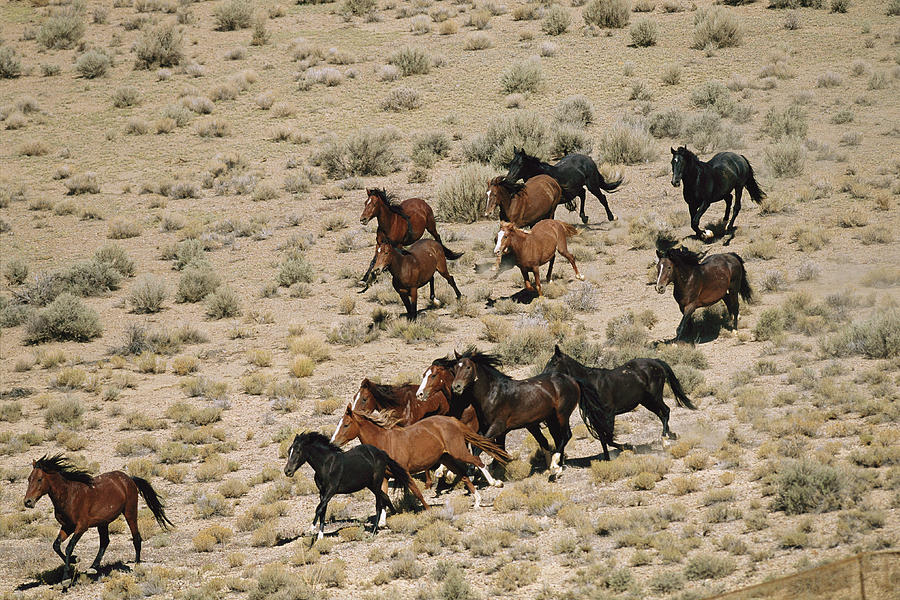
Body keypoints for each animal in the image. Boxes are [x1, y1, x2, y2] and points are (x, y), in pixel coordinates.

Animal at [22, 454, 173, 584]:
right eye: (29, 479)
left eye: (39, 479)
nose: (28, 502)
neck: (69, 495)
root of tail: (129, 478)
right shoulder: (67, 527)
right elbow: (56, 545)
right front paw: (74, 560)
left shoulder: (81, 527)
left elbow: (69, 547)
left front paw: (66, 577)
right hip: (103, 522)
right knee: (105, 541)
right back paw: (93, 567)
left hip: (130, 512)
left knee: (136, 537)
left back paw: (137, 565)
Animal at [284, 432, 416, 540]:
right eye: (289, 451)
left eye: (297, 451)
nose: (287, 471)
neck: (326, 465)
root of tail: (381, 453)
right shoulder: (322, 492)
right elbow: (323, 510)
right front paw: (320, 537)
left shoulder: (331, 490)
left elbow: (319, 509)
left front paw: (310, 529)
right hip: (371, 485)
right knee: (385, 497)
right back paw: (394, 517)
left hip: (376, 483)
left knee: (379, 503)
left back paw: (374, 531)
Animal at [332, 408, 512, 506]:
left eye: (346, 424)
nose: (333, 442)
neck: (384, 441)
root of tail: (452, 420)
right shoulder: (385, 476)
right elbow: (383, 496)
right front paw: (382, 522)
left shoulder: (404, 472)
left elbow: (415, 491)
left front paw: (426, 509)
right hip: (446, 458)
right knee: (463, 475)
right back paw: (477, 501)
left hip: (458, 451)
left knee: (478, 462)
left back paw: (495, 483)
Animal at [448, 350, 616, 476]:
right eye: (455, 368)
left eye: (468, 367)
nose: (456, 387)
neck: (492, 393)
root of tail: (572, 380)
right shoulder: (491, 429)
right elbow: (495, 450)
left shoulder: (497, 427)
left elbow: (479, 447)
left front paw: (473, 471)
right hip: (551, 418)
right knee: (557, 438)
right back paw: (558, 465)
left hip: (562, 414)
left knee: (566, 435)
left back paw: (555, 465)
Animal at [540, 344, 696, 442]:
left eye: (554, 363)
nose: (542, 376)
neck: (591, 383)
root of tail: (656, 363)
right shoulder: (596, 417)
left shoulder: (609, 414)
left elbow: (609, 435)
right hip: (647, 401)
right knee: (662, 413)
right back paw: (670, 434)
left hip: (655, 397)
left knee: (666, 411)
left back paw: (665, 436)